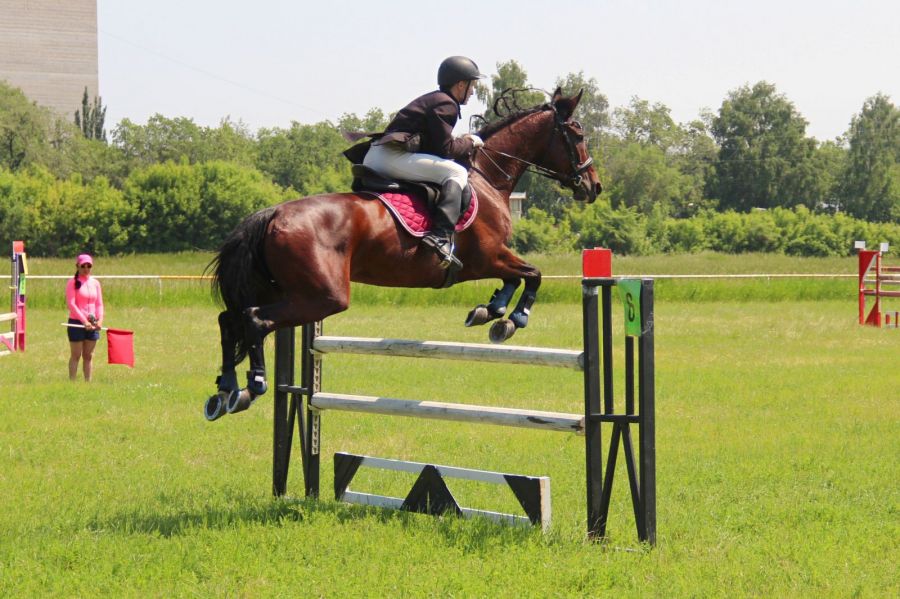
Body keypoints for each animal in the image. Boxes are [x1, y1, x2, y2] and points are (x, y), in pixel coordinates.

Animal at [203, 88, 596, 422]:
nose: (593, 186)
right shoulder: (488, 257)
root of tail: (272, 214)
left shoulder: (491, 260)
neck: (487, 178)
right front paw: (513, 319)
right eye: (577, 134)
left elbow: (516, 277)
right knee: (254, 320)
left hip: (278, 288)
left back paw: (224, 390)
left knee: (229, 320)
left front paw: (491, 311)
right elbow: (532, 274)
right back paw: (252, 385)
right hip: (323, 296)